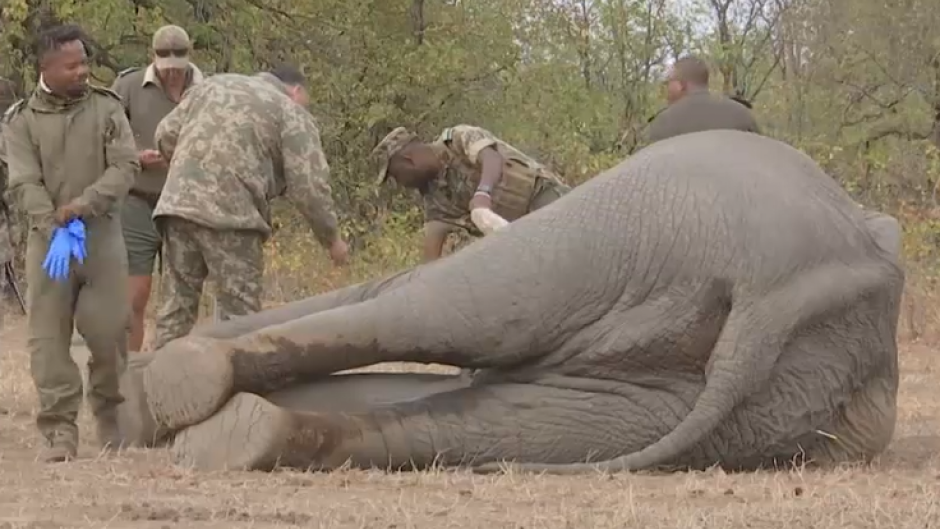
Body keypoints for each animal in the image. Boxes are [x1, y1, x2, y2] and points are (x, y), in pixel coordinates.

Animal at [132, 129, 904, 474]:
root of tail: (779, 285)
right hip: (763, 402)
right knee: (500, 410)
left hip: (623, 227)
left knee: (442, 304)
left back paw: (181, 401)